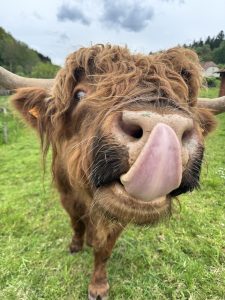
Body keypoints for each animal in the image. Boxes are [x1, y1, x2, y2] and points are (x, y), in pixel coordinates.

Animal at [0, 45, 225, 300]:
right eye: (79, 94)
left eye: (185, 98)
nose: (163, 127)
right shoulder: (66, 196)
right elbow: (76, 222)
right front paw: (75, 245)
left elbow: (104, 247)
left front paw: (98, 286)